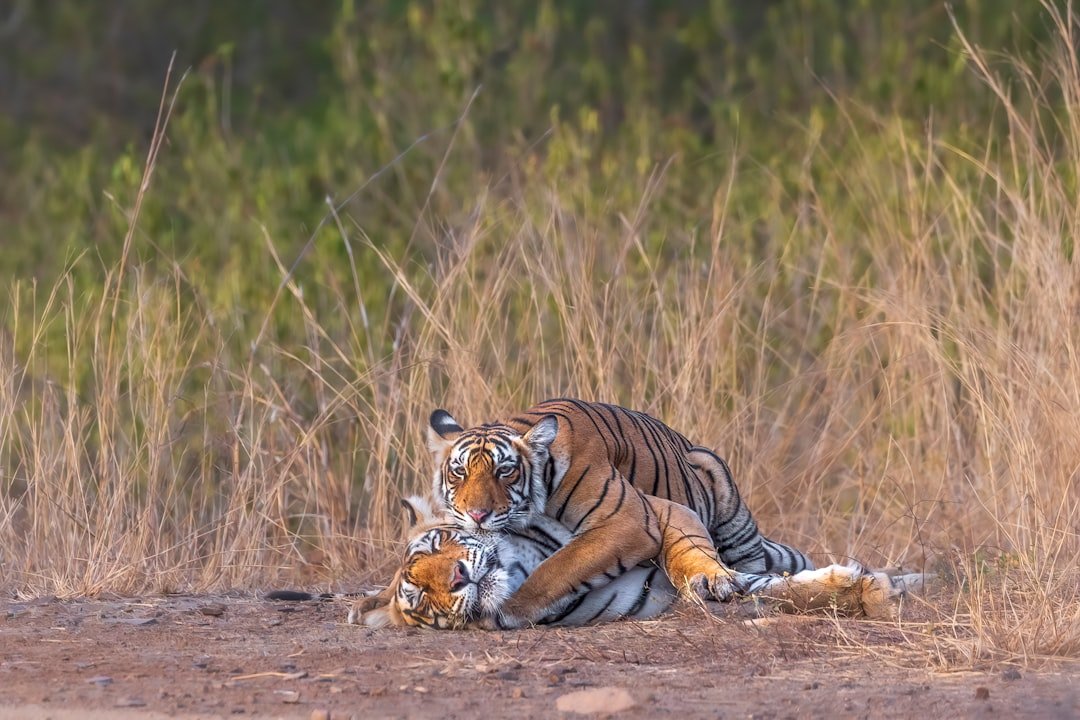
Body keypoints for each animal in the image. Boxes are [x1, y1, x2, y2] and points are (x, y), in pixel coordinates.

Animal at [425, 398, 818, 626]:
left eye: (505, 471)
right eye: (459, 471)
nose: (477, 515)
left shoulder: (627, 520)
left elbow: (558, 567)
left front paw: (504, 609)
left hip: (727, 504)